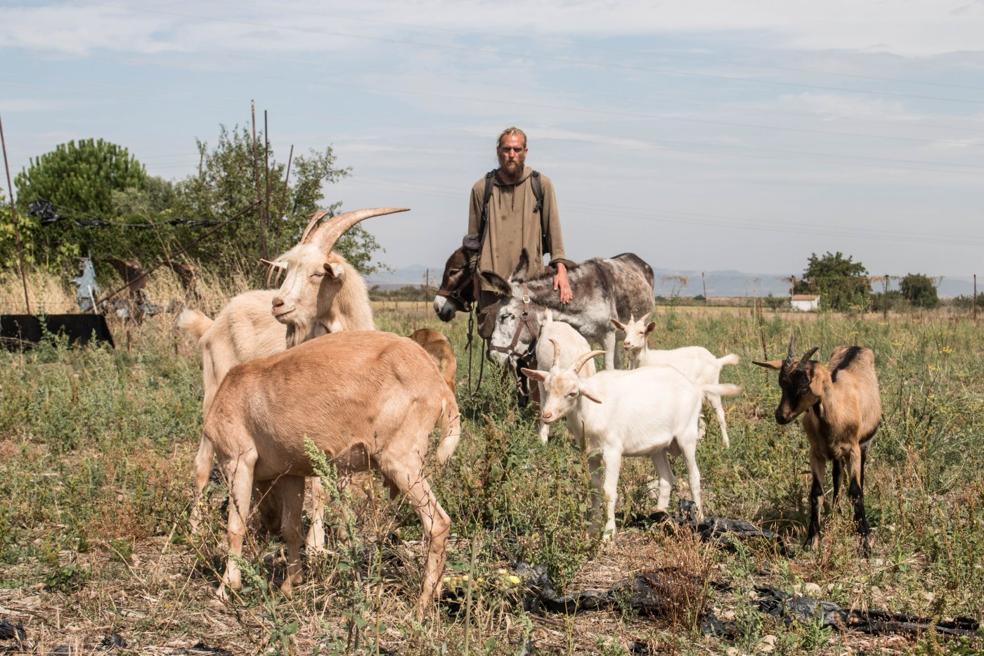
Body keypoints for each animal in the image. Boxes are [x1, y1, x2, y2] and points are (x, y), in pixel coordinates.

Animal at [208, 334, 462, 616]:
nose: (268, 524)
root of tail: (438, 386)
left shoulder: (238, 459)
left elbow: (235, 528)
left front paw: (225, 590)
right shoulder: (291, 473)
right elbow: (291, 528)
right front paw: (290, 584)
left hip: (401, 462)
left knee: (438, 523)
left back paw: (422, 603)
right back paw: (436, 592)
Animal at [524, 354, 736, 540]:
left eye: (572, 393)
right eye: (547, 388)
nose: (547, 415)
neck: (592, 409)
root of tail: (695, 387)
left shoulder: (612, 451)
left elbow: (609, 490)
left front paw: (608, 535)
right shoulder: (591, 454)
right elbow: (595, 489)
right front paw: (592, 531)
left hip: (687, 437)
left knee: (694, 476)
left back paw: (699, 519)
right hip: (657, 448)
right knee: (666, 478)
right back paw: (659, 519)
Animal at [612, 316, 740, 448]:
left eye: (641, 332)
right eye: (625, 331)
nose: (627, 343)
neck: (647, 359)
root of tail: (716, 360)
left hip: (713, 387)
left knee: (720, 413)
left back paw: (726, 444)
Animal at [752, 338, 884, 552]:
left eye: (804, 386)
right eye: (782, 383)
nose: (781, 416)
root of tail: (856, 347)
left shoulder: (853, 450)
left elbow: (856, 491)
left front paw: (865, 540)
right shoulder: (816, 453)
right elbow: (816, 493)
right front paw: (811, 540)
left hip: (864, 446)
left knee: (858, 477)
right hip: (836, 454)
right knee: (837, 475)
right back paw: (836, 510)